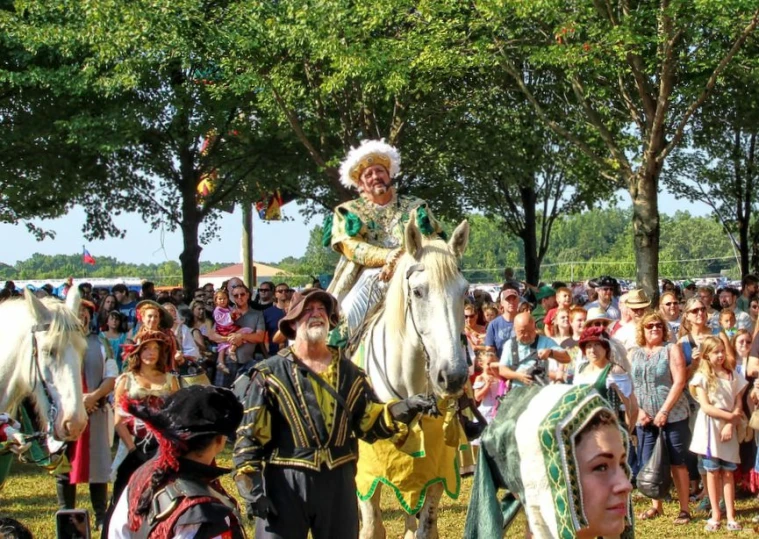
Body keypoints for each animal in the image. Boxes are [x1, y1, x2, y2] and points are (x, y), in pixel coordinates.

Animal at [354, 217, 470, 536]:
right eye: (418, 292)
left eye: (465, 292)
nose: (452, 377)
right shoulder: (367, 475)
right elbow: (372, 527)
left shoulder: (437, 471)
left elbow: (425, 526)